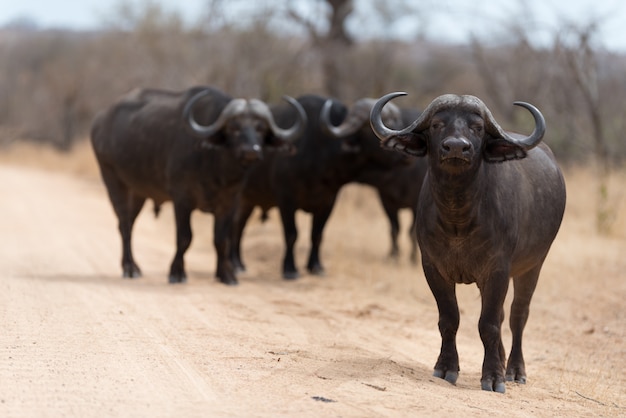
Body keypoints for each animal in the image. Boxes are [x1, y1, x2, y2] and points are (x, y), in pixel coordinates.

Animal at [90, 86, 304, 286]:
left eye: (260, 128)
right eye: (233, 128)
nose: (251, 151)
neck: (217, 169)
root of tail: (99, 122)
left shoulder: (230, 202)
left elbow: (221, 240)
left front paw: (226, 275)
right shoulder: (182, 200)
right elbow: (185, 237)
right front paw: (177, 273)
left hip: (138, 192)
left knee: (130, 223)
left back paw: (134, 266)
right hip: (113, 181)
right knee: (124, 224)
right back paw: (129, 268)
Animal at [370, 91, 564, 392]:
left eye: (478, 128)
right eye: (437, 124)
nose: (456, 148)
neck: (458, 218)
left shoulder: (497, 270)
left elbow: (489, 324)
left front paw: (493, 377)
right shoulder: (433, 268)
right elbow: (450, 319)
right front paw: (446, 367)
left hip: (533, 266)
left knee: (517, 316)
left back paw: (514, 370)